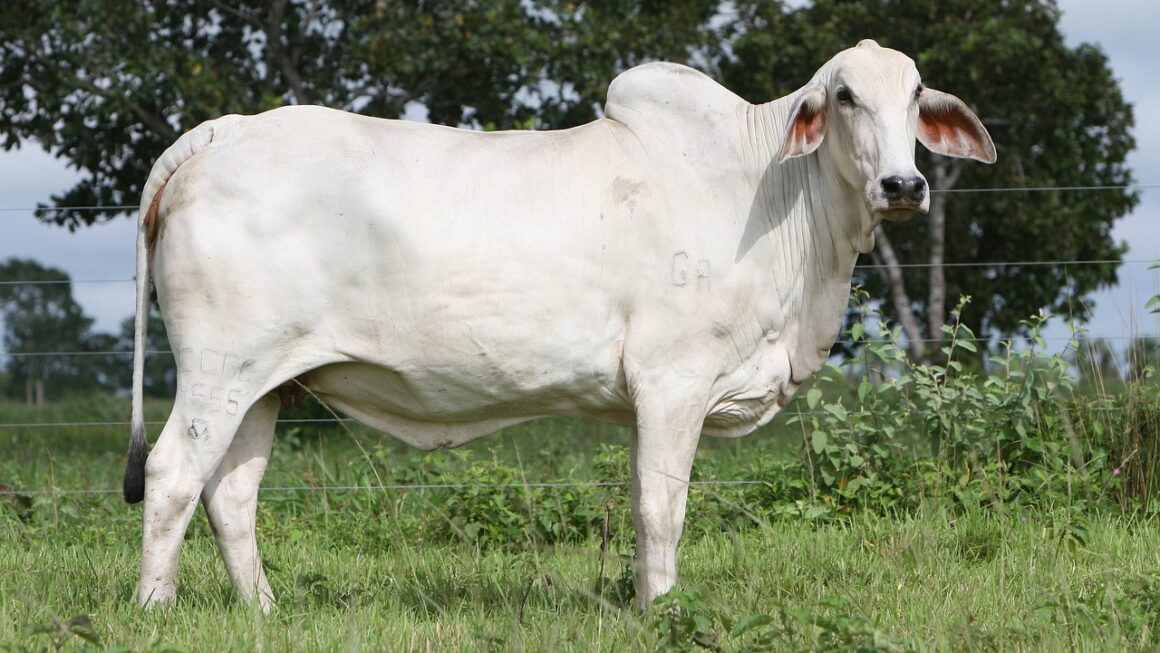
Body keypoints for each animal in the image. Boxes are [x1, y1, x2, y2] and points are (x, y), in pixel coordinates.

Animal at [127, 40, 997, 612]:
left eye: (917, 94)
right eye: (846, 96)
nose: (903, 184)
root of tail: (225, 130)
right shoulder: (673, 381)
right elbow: (661, 508)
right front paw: (661, 611)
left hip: (266, 384)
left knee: (230, 494)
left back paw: (264, 611)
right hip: (218, 369)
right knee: (172, 474)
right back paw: (154, 608)